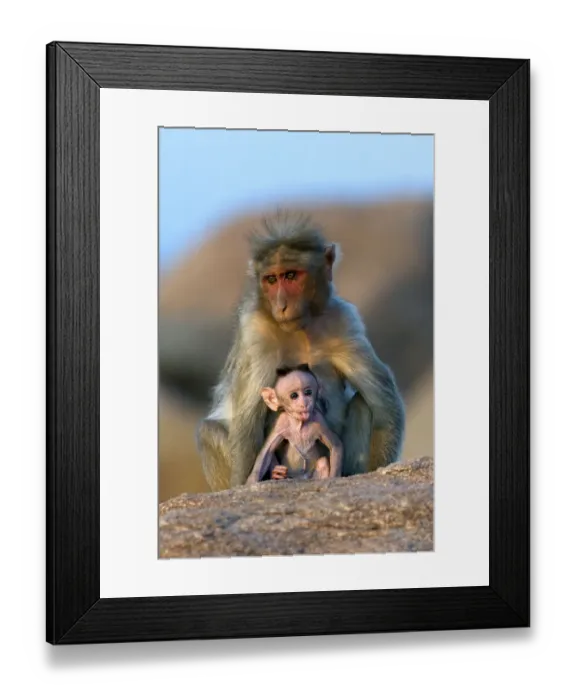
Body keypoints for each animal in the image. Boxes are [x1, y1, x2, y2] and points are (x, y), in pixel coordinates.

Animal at [196, 210, 405, 491]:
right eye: (271, 279)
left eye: (291, 276)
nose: (281, 305)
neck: (301, 328)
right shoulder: (255, 332)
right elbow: (248, 422)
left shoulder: (344, 320)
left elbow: (384, 403)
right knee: (208, 431)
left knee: (363, 403)